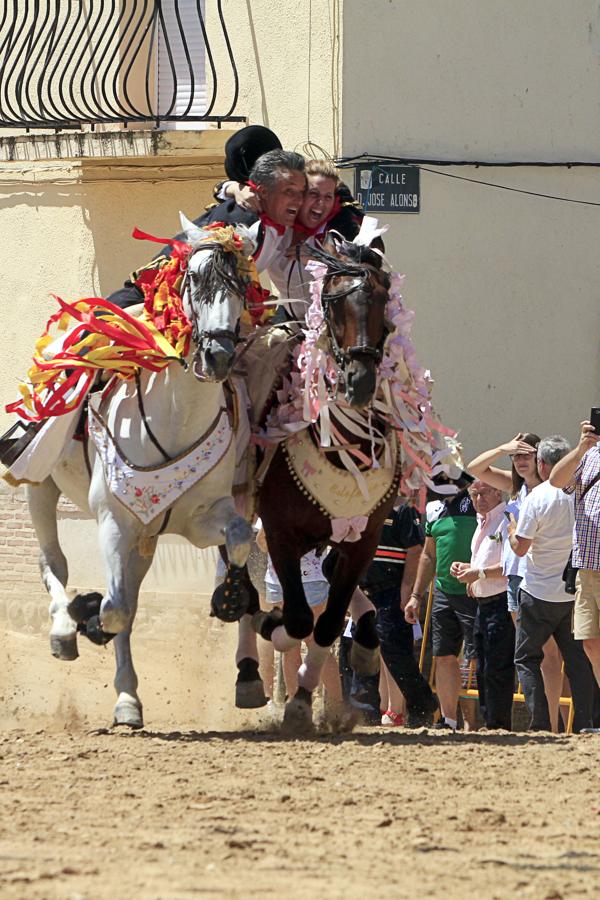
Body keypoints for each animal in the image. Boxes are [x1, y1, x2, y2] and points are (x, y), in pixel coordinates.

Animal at [25, 229, 262, 728]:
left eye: (243, 285)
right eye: (194, 278)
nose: (218, 356)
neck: (175, 415)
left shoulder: (198, 518)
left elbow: (239, 537)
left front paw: (231, 596)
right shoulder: (114, 520)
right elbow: (115, 609)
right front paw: (87, 617)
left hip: (145, 536)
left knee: (127, 596)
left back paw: (127, 698)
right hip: (42, 486)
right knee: (53, 562)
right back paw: (65, 630)